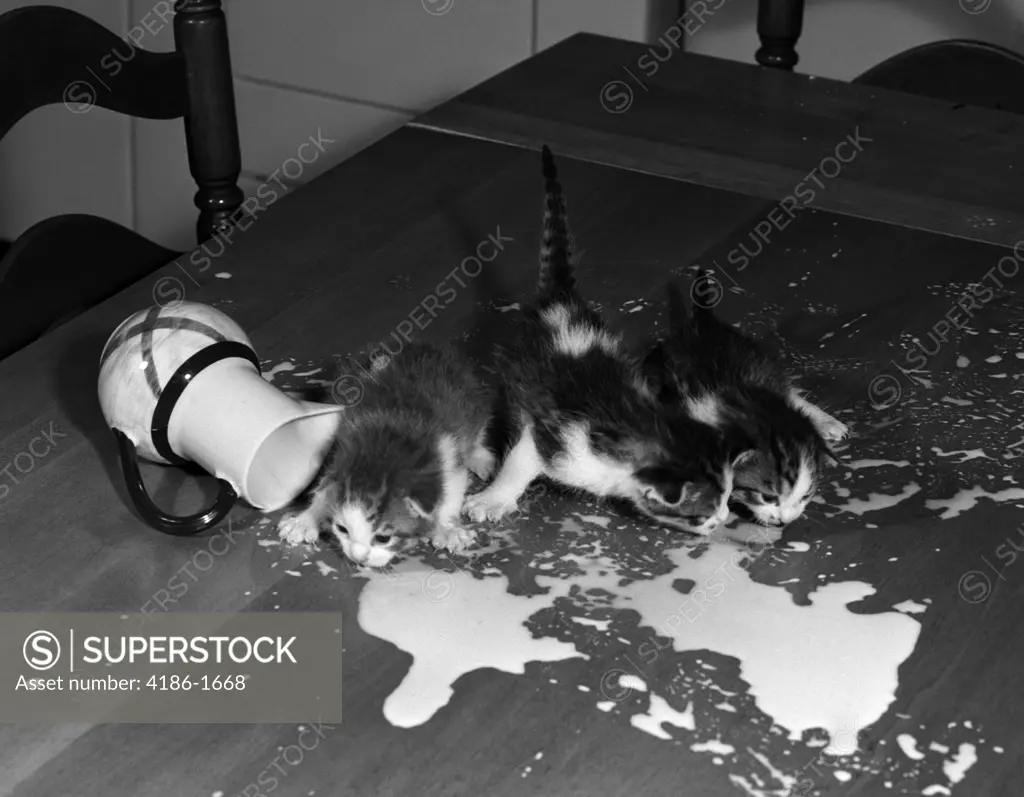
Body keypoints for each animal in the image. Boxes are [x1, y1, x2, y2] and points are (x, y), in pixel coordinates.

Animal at [276, 342, 491, 565]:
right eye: (342, 529)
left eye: (383, 538)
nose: (358, 559)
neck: (384, 447)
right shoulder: (341, 446)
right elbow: (323, 488)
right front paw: (305, 519)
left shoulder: (448, 452)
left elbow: (452, 490)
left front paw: (448, 530)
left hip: (472, 403)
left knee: (477, 433)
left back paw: (481, 458)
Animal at [460, 147, 733, 532]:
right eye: (703, 514)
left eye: (728, 496)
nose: (723, 519)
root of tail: (562, 299)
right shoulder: (562, 439)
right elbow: (522, 459)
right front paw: (493, 499)